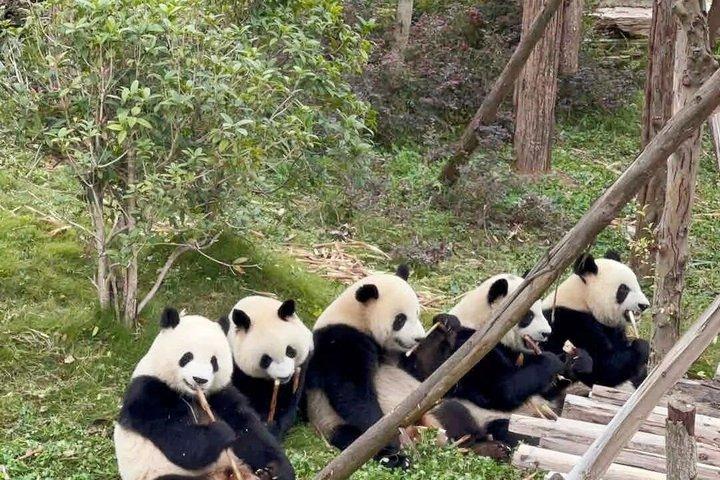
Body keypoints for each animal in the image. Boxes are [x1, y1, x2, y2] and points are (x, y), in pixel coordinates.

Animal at [114, 307, 294, 480]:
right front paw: (221, 431)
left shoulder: (219, 393)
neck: (191, 395)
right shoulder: (147, 394)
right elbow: (180, 441)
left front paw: (277, 469)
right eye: (187, 357)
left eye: (214, 361)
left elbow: (249, 428)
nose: (199, 379)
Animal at [219, 295, 313, 439]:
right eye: (266, 359)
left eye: (290, 351)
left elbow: (287, 404)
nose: (284, 376)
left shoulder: (301, 369)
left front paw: (273, 426)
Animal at [305, 266, 510, 467]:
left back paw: (489, 447)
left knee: (454, 415)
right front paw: (388, 439)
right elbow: (352, 392)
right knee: (354, 441)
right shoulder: (340, 341)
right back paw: (397, 456)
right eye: (400, 319)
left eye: (418, 313)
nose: (418, 338)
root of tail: (418, 436)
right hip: (332, 422)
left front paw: (447, 324)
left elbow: (424, 374)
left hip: (429, 411)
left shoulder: (399, 357)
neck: (357, 318)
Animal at [541, 251, 651, 388]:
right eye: (624, 289)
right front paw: (641, 346)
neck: (583, 299)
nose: (644, 305)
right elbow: (602, 369)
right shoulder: (572, 322)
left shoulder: (612, 329)